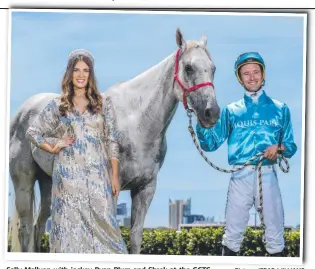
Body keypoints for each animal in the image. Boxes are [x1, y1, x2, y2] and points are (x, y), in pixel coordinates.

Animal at [10, 29, 222, 253]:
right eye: (189, 67)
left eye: (213, 68)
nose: (212, 113)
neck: (137, 121)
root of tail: (24, 110)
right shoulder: (113, 189)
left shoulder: (145, 189)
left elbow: (135, 237)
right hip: (24, 181)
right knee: (25, 228)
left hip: (47, 182)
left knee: (39, 226)